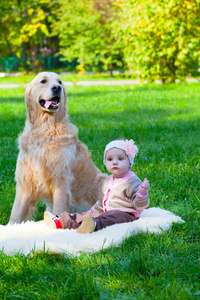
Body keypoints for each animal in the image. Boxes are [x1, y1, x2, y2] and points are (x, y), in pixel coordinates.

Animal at [9, 72, 106, 223]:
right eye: (43, 81)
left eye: (60, 82)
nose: (57, 88)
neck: (45, 128)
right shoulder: (25, 183)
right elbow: (15, 215)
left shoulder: (61, 181)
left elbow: (59, 210)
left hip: (102, 179)